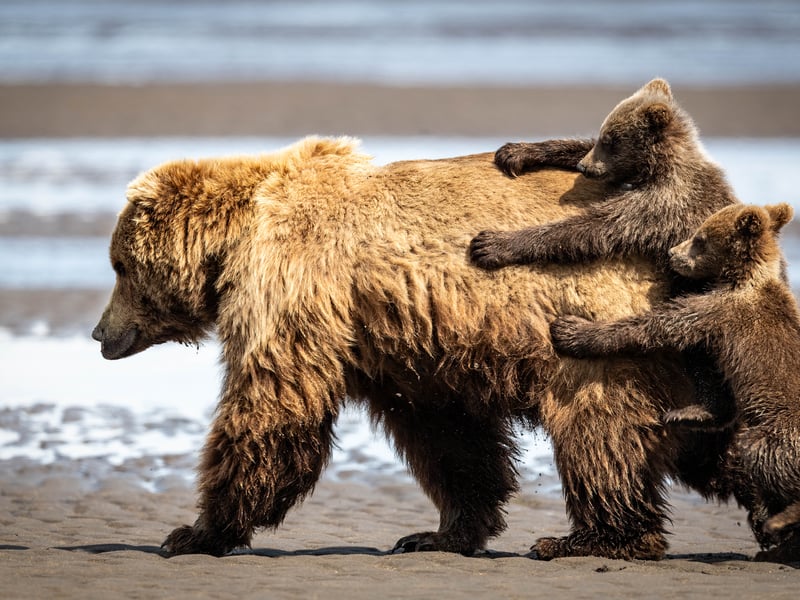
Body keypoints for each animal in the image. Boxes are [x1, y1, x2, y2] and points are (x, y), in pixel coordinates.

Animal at [94, 136, 708, 559]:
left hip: (593, 320)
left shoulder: (293, 285)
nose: (100, 333)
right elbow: (449, 436)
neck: (237, 239)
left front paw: (194, 531)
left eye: (118, 265)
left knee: (598, 428)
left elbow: (271, 406)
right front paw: (441, 532)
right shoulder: (407, 347)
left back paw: (595, 537)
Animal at [548, 203, 800, 563]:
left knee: (757, 453)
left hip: (777, 435)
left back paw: (782, 521)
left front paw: (571, 330)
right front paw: (690, 414)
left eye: (700, 239)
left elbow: (654, 328)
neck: (744, 277)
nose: (672, 253)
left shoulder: (715, 310)